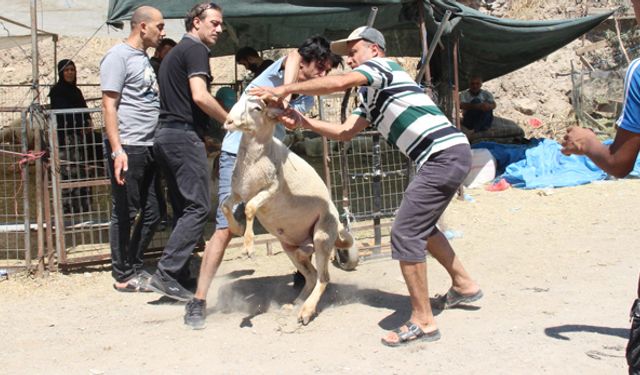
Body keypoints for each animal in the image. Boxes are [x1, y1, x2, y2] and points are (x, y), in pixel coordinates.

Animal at [222, 94, 356, 326]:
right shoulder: (239, 191)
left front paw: (248, 247)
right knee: (311, 274)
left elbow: (250, 209)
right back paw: (295, 303)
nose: (228, 122)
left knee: (323, 277)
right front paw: (237, 229)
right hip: (290, 247)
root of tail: (339, 226)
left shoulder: (271, 190)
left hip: (322, 235)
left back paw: (306, 311)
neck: (256, 158)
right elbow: (225, 206)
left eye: (257, 108)